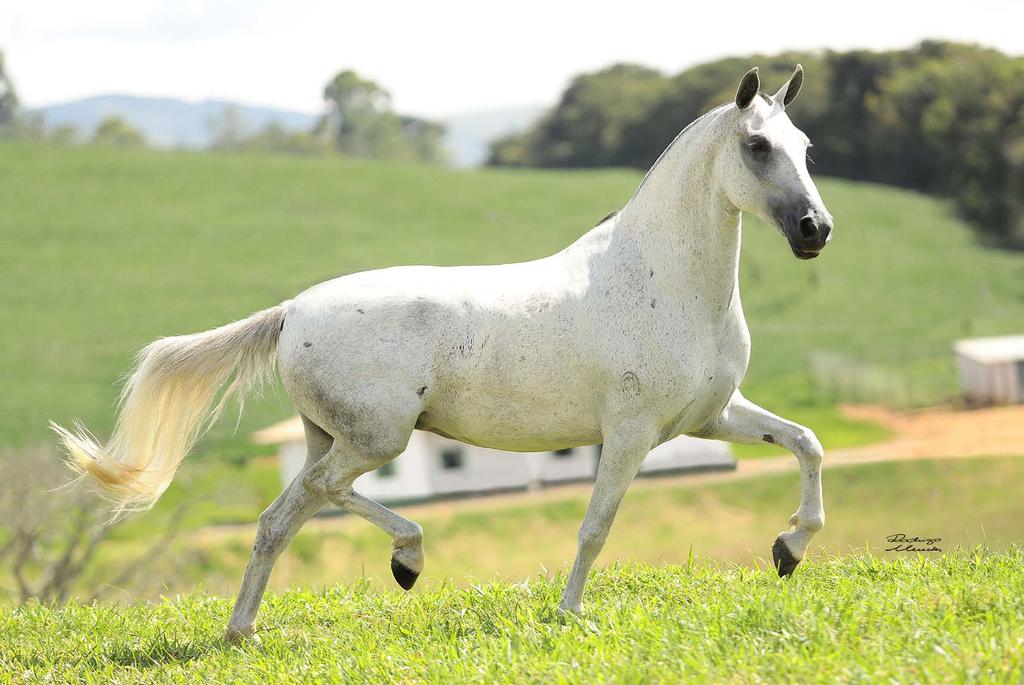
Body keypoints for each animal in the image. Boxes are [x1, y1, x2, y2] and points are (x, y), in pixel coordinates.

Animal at [51, 66, 831, 638]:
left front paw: (788, 549)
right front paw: (571, 614)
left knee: (282, 516)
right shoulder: (631, 433)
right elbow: (595, 527)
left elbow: (806, 442)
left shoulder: (712, 416)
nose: (815, 229)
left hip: (330, 437)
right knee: (321, 496)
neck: (662, 281)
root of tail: (292, 311)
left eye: (805, 147)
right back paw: (405, 559)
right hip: (376, 437)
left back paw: (249, 628)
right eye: (757, 147)